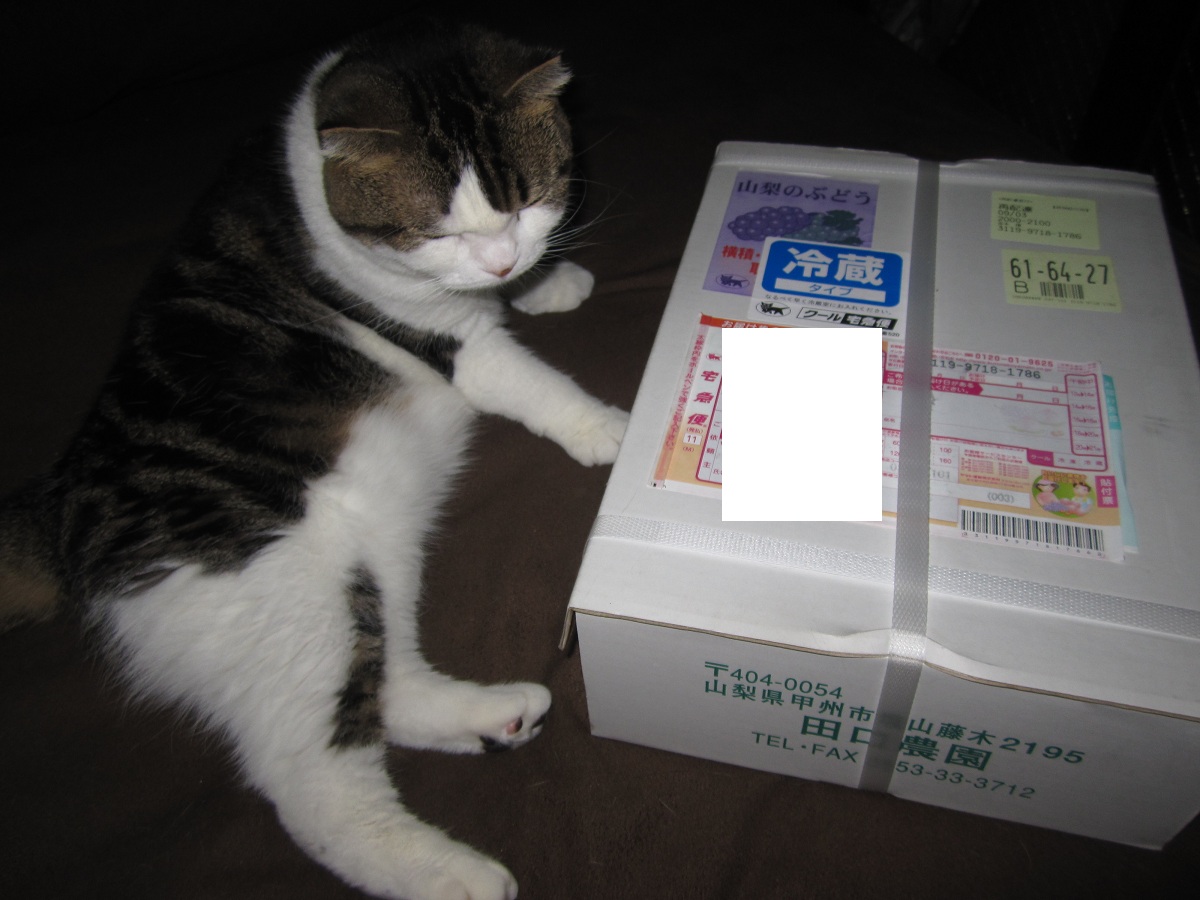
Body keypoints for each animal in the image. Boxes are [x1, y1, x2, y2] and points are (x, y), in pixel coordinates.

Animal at [0, 20, 627, 900]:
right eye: (437, 231)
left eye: (528, 199)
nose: (503, 262)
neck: (308, 188)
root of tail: (58, 516)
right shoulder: (450, 340)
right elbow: (525, 378)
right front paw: (612, 428)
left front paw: (544, 282)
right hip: (286, 604)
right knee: (316, 786)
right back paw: (455, 876)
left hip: (368, 563)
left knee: (388, 684)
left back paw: (496, 715)